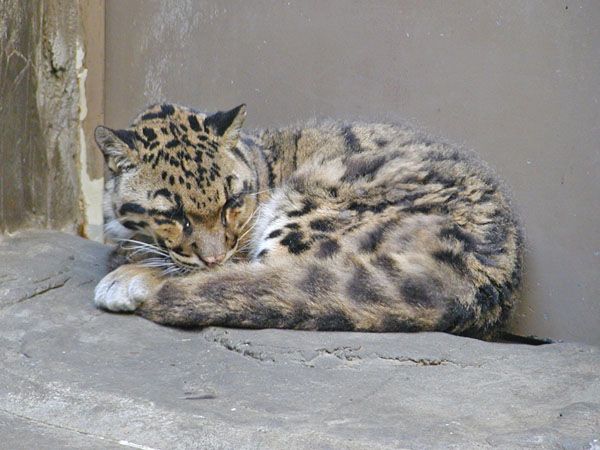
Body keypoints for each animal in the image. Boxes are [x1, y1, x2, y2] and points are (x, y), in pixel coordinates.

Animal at [92, 103, 520, 338]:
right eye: (172, 213)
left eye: (232, 200)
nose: (213, 257)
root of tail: (485, 274)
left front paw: (131, 271)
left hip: (306, 212)